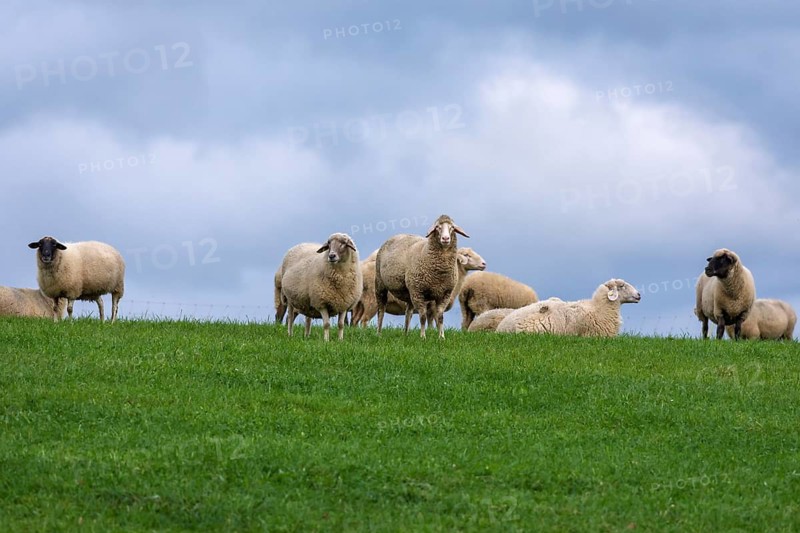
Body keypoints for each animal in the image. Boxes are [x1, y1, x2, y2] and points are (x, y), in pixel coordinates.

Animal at [355, 247, 485, 327]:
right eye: (466, 255)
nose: (484, 264)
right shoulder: (433, 306)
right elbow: (435, 322)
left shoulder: (429, 308)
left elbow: (430, 322)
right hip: (372, 301)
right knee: (364, 320)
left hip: (360, 302)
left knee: (355, 320)